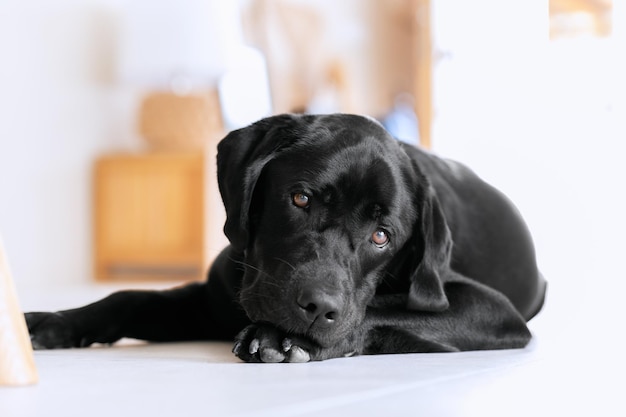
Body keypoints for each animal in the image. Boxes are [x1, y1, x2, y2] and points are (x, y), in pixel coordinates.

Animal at [25, 113, 540, 360]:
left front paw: (281, 337)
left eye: (381, 236)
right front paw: (50, 322)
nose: (317, 307)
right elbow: (130, 297)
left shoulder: (492, 309)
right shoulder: (208, 299)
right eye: (300, 199)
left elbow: (376, 309)